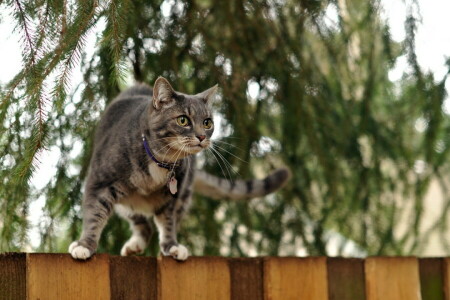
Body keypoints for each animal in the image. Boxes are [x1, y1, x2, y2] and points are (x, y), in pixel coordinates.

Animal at [68, 77, 290, 260]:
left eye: (207, 122)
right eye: (183, 120)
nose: (202, 136)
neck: (161, 160)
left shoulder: (173, 197)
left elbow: (168, 221)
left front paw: (171, 246)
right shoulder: (99, 184)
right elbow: (94, 215)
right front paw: (84, 245)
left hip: (184, 196)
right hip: (126, 201)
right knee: (141, 223)